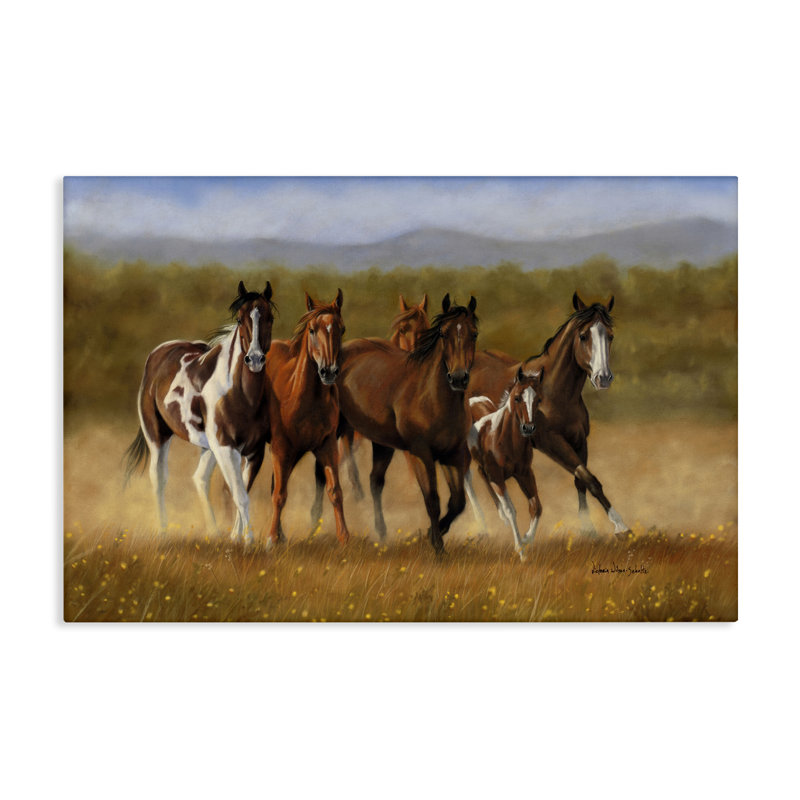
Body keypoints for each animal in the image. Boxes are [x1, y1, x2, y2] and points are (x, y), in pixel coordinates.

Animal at [124, 281, 275, 544]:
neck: (241, 394)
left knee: (200, 479)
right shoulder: (226, 447)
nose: (255, 359)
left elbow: (242, 492)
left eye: (270, 318)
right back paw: (163, 532)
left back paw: (213, 532)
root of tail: (159, 352)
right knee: (158, 478)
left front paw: (236, 537)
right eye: (239, 318)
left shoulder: (254, 452)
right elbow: (240, 495)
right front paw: (248, 540)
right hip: (157, 436)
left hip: (208, 447)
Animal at [260, 289, 350, 547]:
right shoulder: (281, 448)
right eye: (312, 330)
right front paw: (270, 540)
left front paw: (344, 538)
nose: (328, 371)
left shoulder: (327, 446)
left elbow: (335, 491)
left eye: (342, 329)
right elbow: (279, 495)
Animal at [319, 293, 478, 554]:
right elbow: (432, 499)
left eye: (473, 333)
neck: (431, 396)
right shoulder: (420, 454)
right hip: (336, 432)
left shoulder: (454, 455)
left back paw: (381, 531)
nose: (458, 378)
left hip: (382, 443)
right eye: (443, 333)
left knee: (375, 481)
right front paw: (437, 546)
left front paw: (430, 533)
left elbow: (457, 502)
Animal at [465, 367, 543, 560]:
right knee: (467, 480)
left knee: (481, 474)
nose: (528, 428)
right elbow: (511, 509)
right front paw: (520, 550)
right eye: (517, 398)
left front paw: (526, 538)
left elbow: (536, 507)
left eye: (538, 399)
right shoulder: (497, 476)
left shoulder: (524, 473)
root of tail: (471, 400)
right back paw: (483, 523)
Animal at [467, 292, 630, 537]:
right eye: (583, 336)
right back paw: (484, 525)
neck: (555, 391)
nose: (603, 378)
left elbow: (581, 480)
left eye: (609, 336)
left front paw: (588, 528)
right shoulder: (552, 442)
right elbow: (589, 478)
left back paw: (501, 517)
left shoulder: (579, 440)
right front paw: (620, 526)